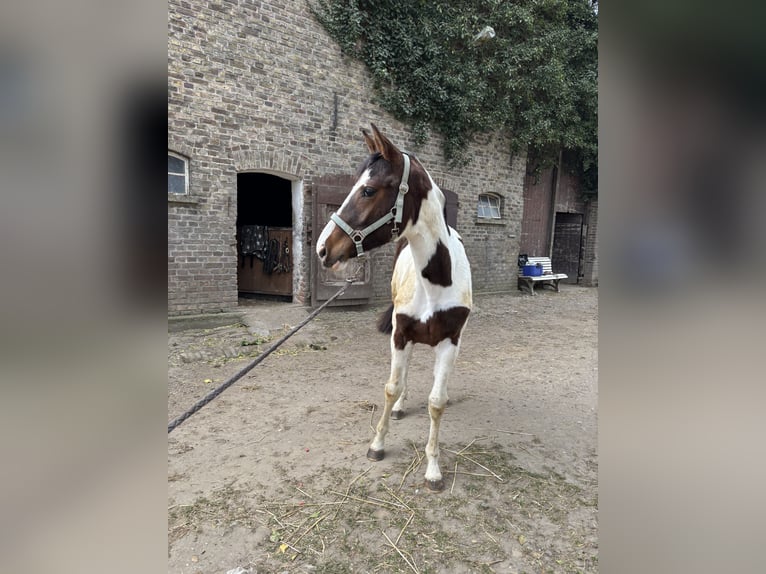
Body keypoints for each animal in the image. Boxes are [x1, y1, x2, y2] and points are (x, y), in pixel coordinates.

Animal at [316, 124, 472, 491]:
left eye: (369, 190)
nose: (322, 249)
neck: (436, 283)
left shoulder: (450, 341)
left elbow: (436, 402)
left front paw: (433, 469)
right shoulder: (400, 335)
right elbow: (391, 388)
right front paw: (377, 444)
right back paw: (401, 407)